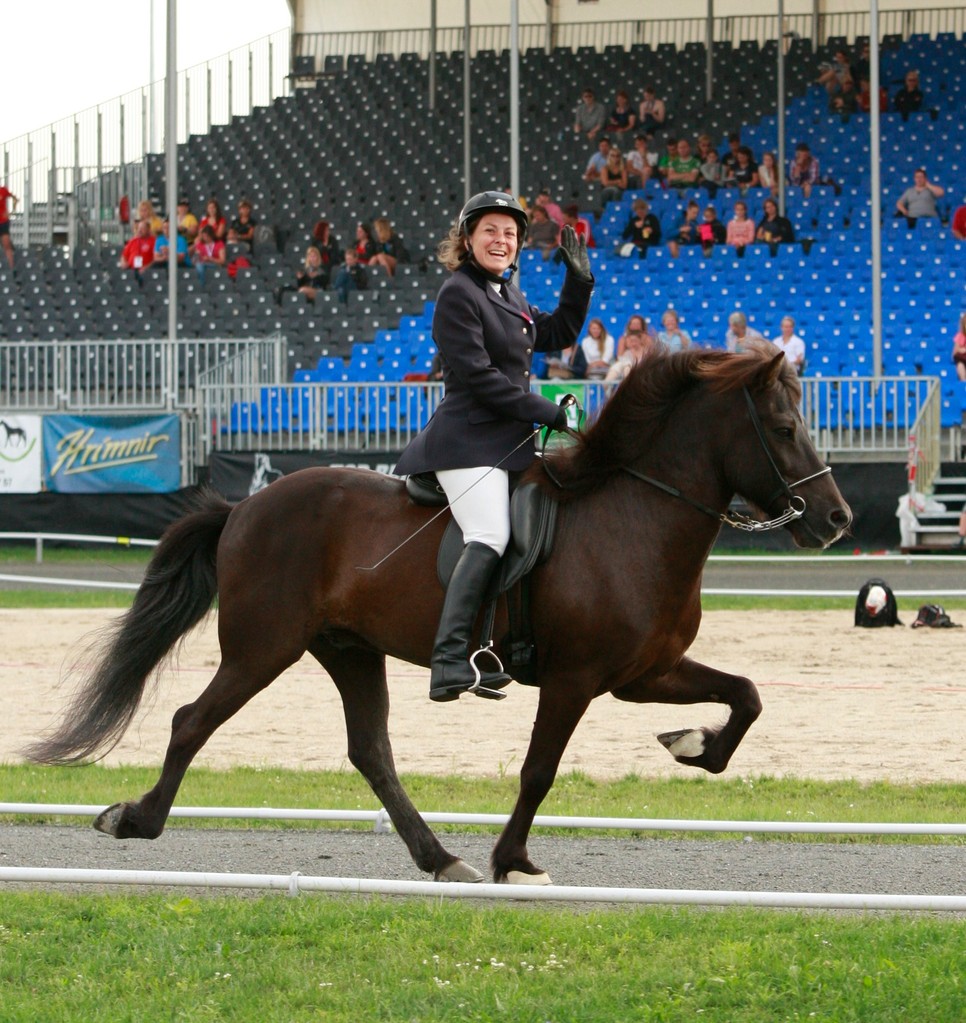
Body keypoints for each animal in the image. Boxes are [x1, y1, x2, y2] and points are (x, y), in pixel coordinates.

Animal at [26, 345, 847, 887]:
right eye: (782, 428)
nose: (836, 521)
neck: (635, 517)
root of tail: (243, 506)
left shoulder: (643, 672)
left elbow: (747, 695)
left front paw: (694, 746)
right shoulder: (577, 678)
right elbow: (539, 770)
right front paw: (513, 861)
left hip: (347, 649)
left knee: (371, 751)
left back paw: (439, 857)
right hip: (263, 647)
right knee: (192, 721)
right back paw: (135, 819)